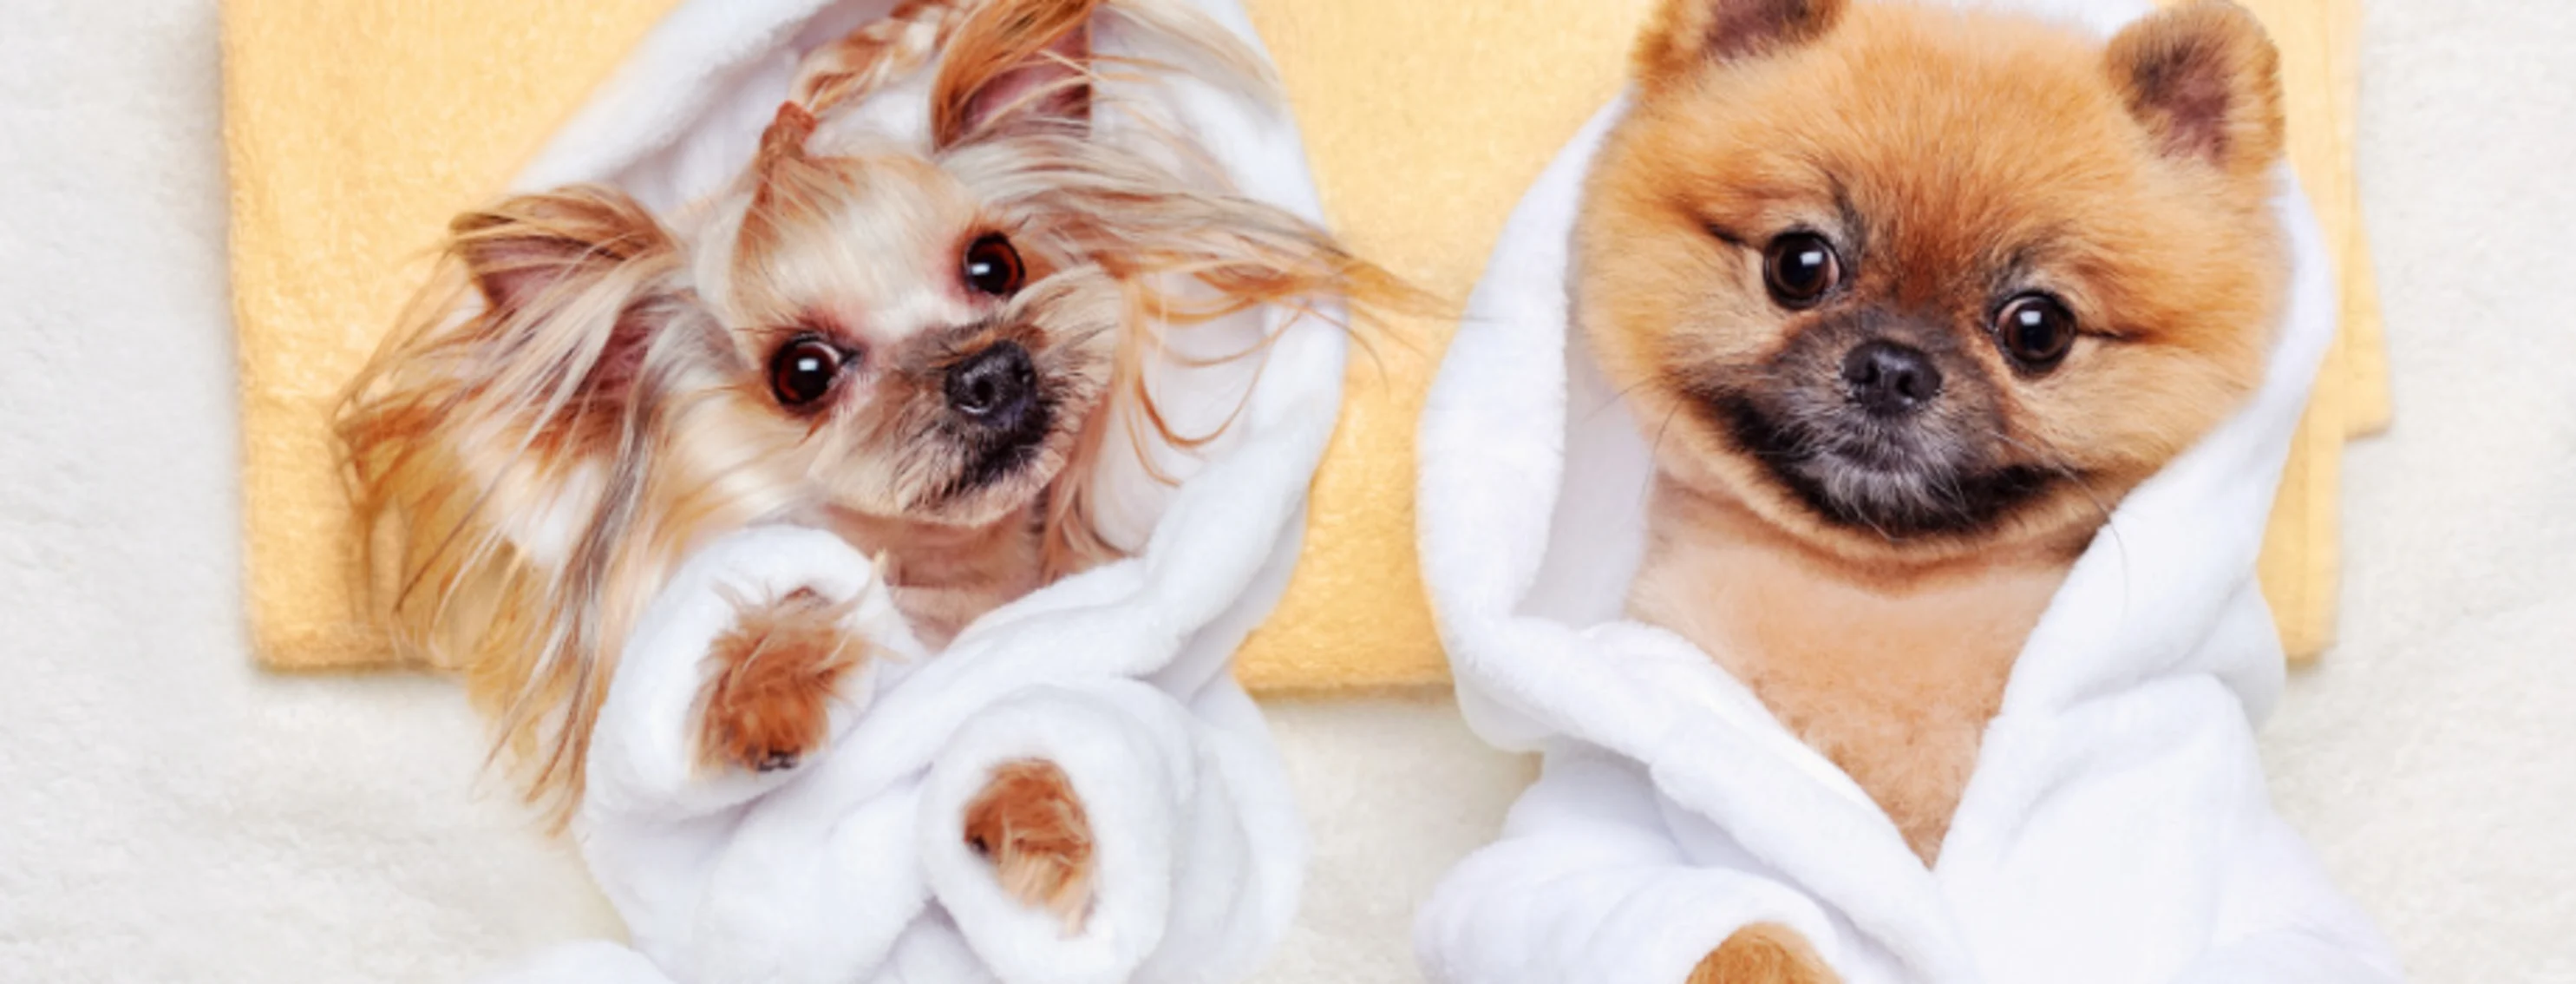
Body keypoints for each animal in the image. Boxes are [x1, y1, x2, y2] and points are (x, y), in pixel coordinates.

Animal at [335, 0, 1401, 922]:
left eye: (995, 264)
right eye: (802, 372)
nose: (990, 370)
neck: (952, 585)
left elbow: (1053, 728)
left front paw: (1042, 830)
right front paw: (767, 692)